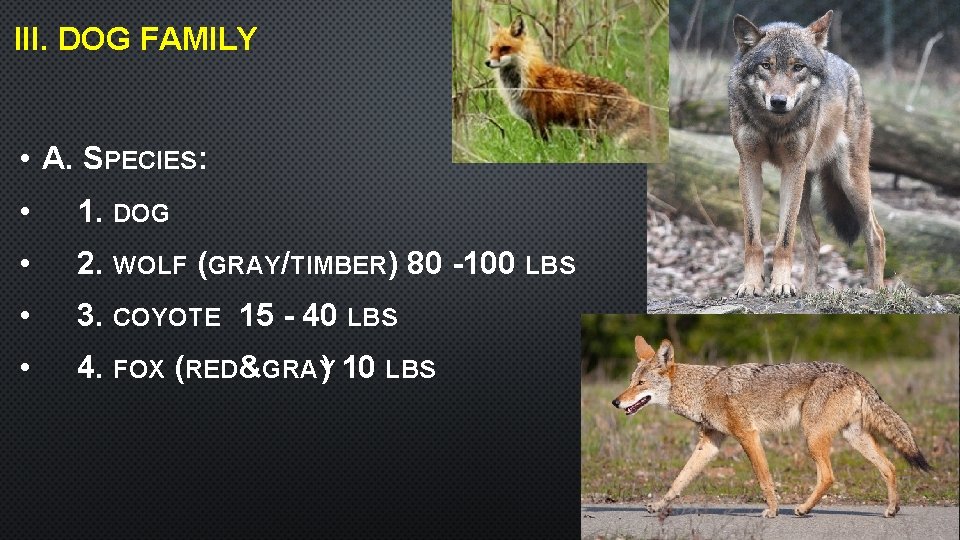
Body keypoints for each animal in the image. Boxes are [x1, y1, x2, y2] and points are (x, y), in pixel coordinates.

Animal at [485, 16, 652, 145]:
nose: (487, 62)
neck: (521, 84)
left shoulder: (541, 120)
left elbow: (544, 146)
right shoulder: (532, 122)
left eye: (504, 48)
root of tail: (634, 99)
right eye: (491, 49)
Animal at [612, 336, 931, 518]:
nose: (615, 401)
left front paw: (773, 511)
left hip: (812, 437)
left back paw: (803, 509)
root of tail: (854, 373)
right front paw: (659, 505)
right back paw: (891, 508)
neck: (701, 390)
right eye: (630, 381)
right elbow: (680, 480)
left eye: (640, 383)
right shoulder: (710, 444)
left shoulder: (748, 436)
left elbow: (764, 479)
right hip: (852, 438)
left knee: (829, 476)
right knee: (889, 466)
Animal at [728, 10, 885, 296]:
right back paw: (807, 291)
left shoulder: (792, 167)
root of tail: (849, 68)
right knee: (814, 240)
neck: (774, 125)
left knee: (876, 233)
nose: (778, 101)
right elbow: (753, 239)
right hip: (804, 187)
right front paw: (752, 284)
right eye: (766, 66)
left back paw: (875, 290)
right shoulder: (749, 165)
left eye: (798, 67)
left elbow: (784, 240)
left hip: (849, 181)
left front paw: (780, 285)